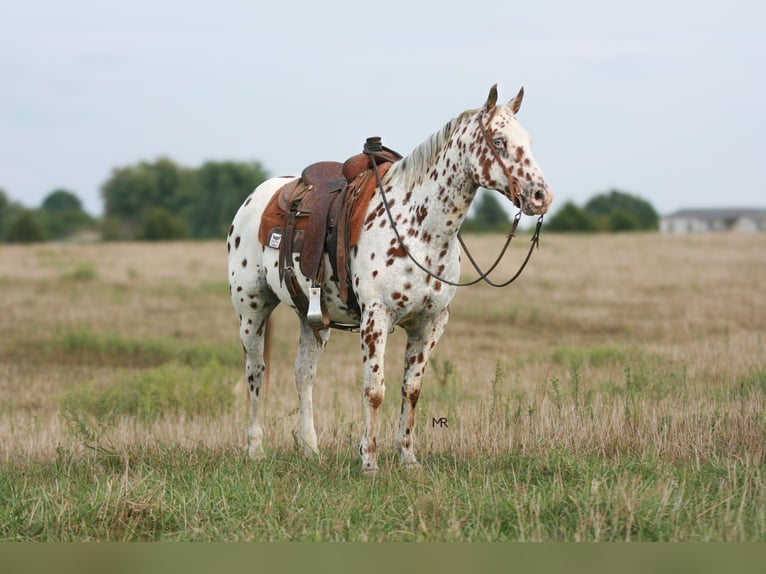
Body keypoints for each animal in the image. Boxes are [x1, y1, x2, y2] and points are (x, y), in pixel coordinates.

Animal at [227, 84, 553, 473]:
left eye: (529, 140)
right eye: (500, 141)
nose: (541, 196)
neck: (418, 226)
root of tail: (255, 198)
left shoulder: (430, 323)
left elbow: (410, 390)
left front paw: (408, 458)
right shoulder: (376, 319)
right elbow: (374, 390)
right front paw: (369, 460)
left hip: (312, 319)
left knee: (303, 374)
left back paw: (311, 449)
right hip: (252, 311)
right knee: (256, 372)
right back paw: (255, 448)